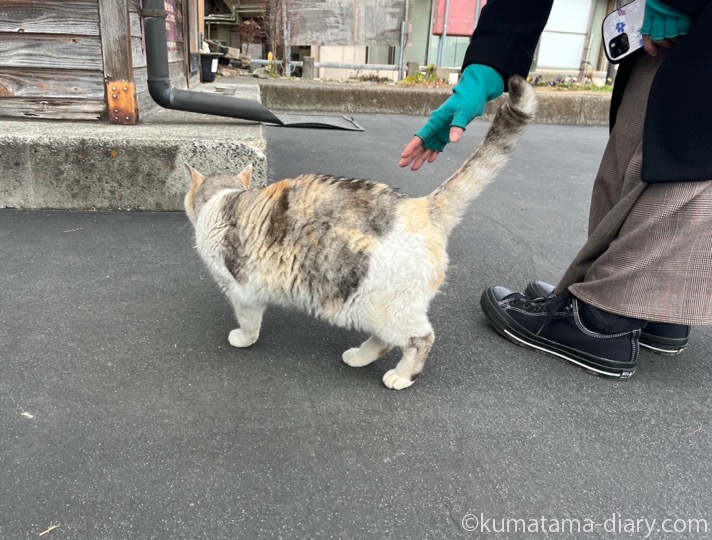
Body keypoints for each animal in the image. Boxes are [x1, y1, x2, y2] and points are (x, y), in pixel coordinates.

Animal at [184, 75, 536, 388]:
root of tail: (422, 206)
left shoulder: (241, 289)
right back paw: (358, 357)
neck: (222, 199)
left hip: (378, 305)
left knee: (421, 338)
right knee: (385, 340)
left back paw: (402, 376)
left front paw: (243, 339)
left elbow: (249, 321)